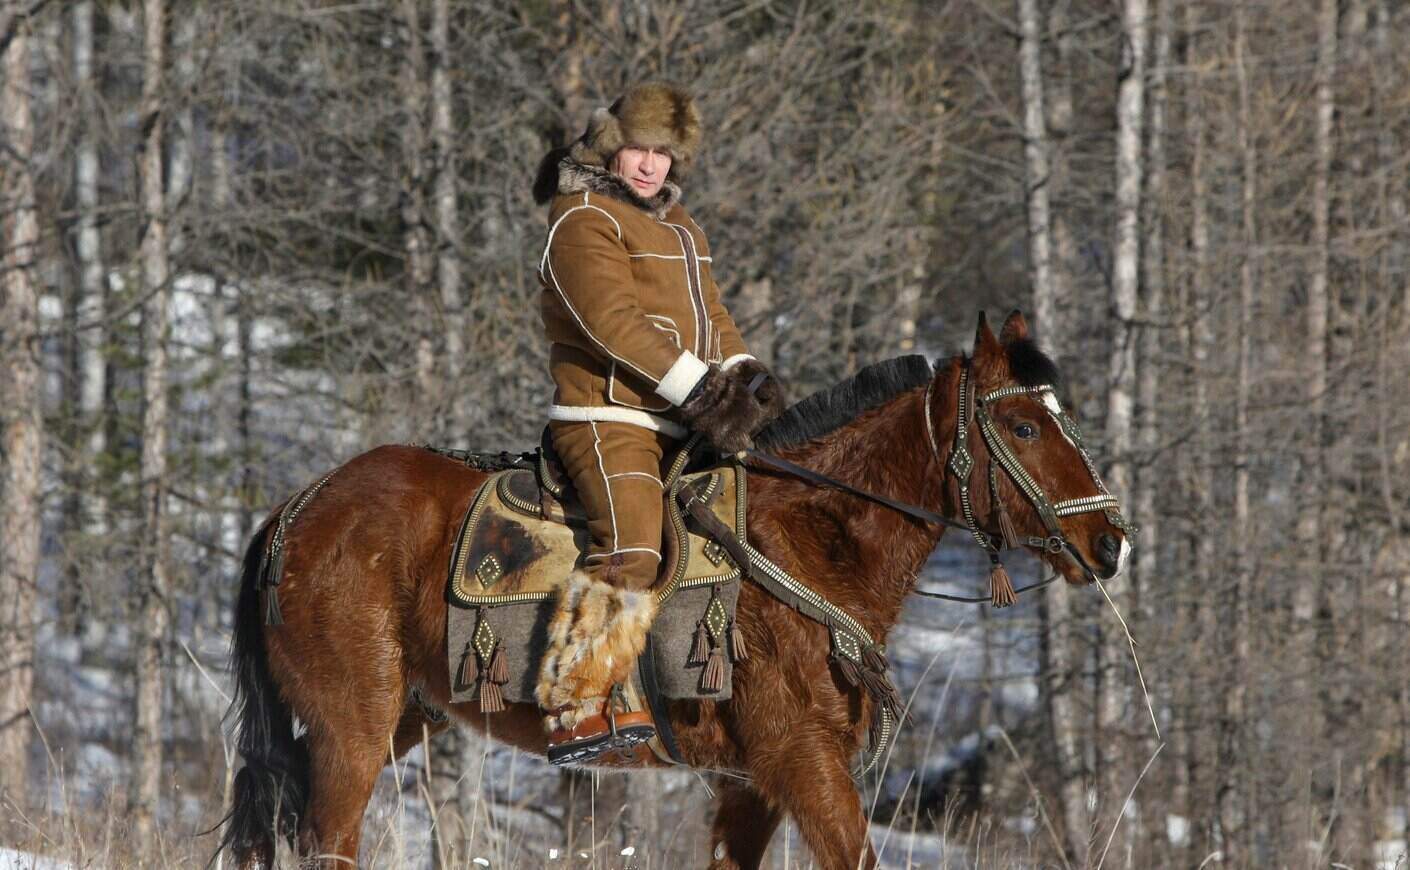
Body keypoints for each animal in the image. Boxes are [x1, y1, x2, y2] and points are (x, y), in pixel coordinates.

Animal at [218, 310, 1130, 869]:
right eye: (1023, 425)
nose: (1109, 542)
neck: (808, 539)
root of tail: (298, 507)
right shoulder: (803, 764)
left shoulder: (749, 786)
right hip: (353, 727)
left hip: (398, 718)